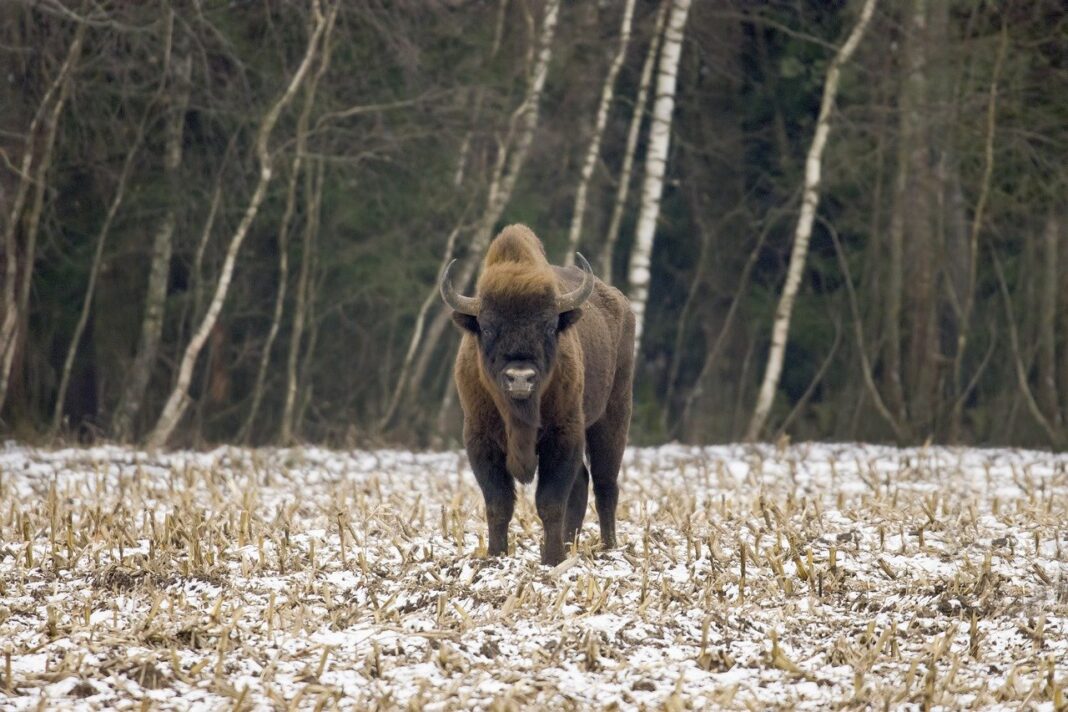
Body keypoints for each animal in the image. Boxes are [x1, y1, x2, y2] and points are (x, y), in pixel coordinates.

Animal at [440, 225, 632, 563]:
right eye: (487, 328)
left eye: (548, 326)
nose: (520, 377)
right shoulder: (480, 440)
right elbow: (498, 503)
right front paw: (496, 556)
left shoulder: (563, 435)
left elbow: (550, 501)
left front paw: (552, 559)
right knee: (583, 484)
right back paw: (572, 544)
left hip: (611, 419)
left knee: (605, 485)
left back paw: (608, 548)